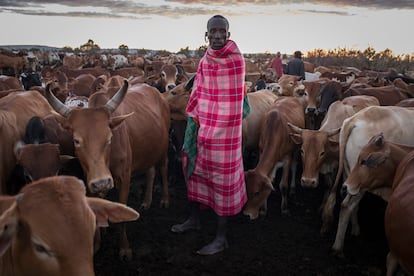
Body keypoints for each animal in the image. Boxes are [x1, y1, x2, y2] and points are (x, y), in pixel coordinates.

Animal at [46, 79, 171, 258]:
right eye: (76, 140)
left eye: (110, 137)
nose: (102, 182)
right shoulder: (89, 180)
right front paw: (97, 242)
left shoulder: (124, 178)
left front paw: (124, 248)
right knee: (150, 171)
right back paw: (146, 201)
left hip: (163, 149)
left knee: (163, 168)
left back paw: (165, 199)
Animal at [288, 95, 378, 233]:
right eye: (302, 150)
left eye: (322, 153)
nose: (308, 182)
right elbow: (328, 184)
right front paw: (322, 206)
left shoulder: (336, 165)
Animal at [330, 105, 414, 256]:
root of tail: (353, 120)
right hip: (358, 183)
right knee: (346, 206)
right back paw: (338, 247)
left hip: (349, 177)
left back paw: (355, 229)